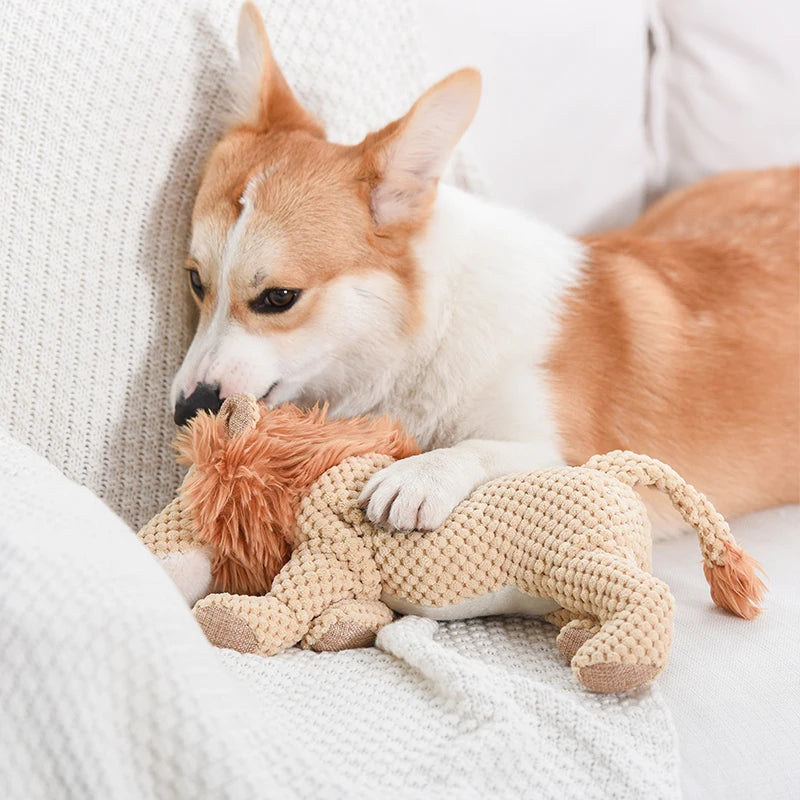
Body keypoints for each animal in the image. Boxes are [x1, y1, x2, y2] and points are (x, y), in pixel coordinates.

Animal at [172, 3, 796, 540]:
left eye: (279, 297)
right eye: (197, 282)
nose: (184, 412)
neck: (431, 331)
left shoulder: (574, 453)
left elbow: (485, 448)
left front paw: (420, 474)